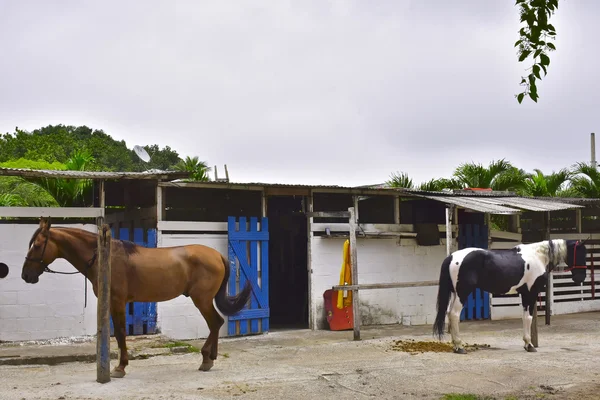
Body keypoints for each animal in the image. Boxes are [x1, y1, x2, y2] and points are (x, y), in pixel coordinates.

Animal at [20, 219, 251, 378]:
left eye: (37, 245)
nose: (26, 275)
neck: (105, 257)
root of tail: (217, 255)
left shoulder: (118, 303)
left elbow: (121, 333)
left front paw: (120, 367)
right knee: (216, 324)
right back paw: (210, 358)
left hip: (201, 300)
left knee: (215, 323)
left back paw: (206, 359)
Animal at [434, 239, 588, 352]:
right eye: (581, 254)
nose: (580, 278)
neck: (538, 257)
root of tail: (452, 256)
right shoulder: (530, 293)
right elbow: (529, 318)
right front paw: (530, 345)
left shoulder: (524, 294)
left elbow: (524, 317)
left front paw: (526, 344)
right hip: (463, 292)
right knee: (454, 314)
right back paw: (459, 346)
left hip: (455, 293)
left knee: (449, 314)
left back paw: (455, 345)